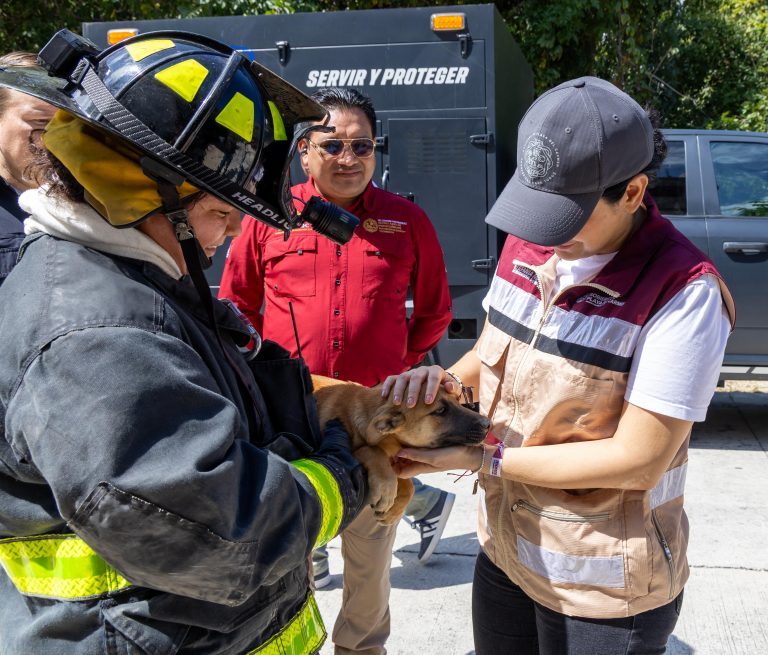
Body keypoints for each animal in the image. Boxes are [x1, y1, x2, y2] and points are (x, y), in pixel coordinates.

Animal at [312, 375, 490, 524]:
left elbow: (409, 485)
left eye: (457, 399)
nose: (488, 424)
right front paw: (386, 490)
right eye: (440, 411)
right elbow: (372, 451)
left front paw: (394, 511)